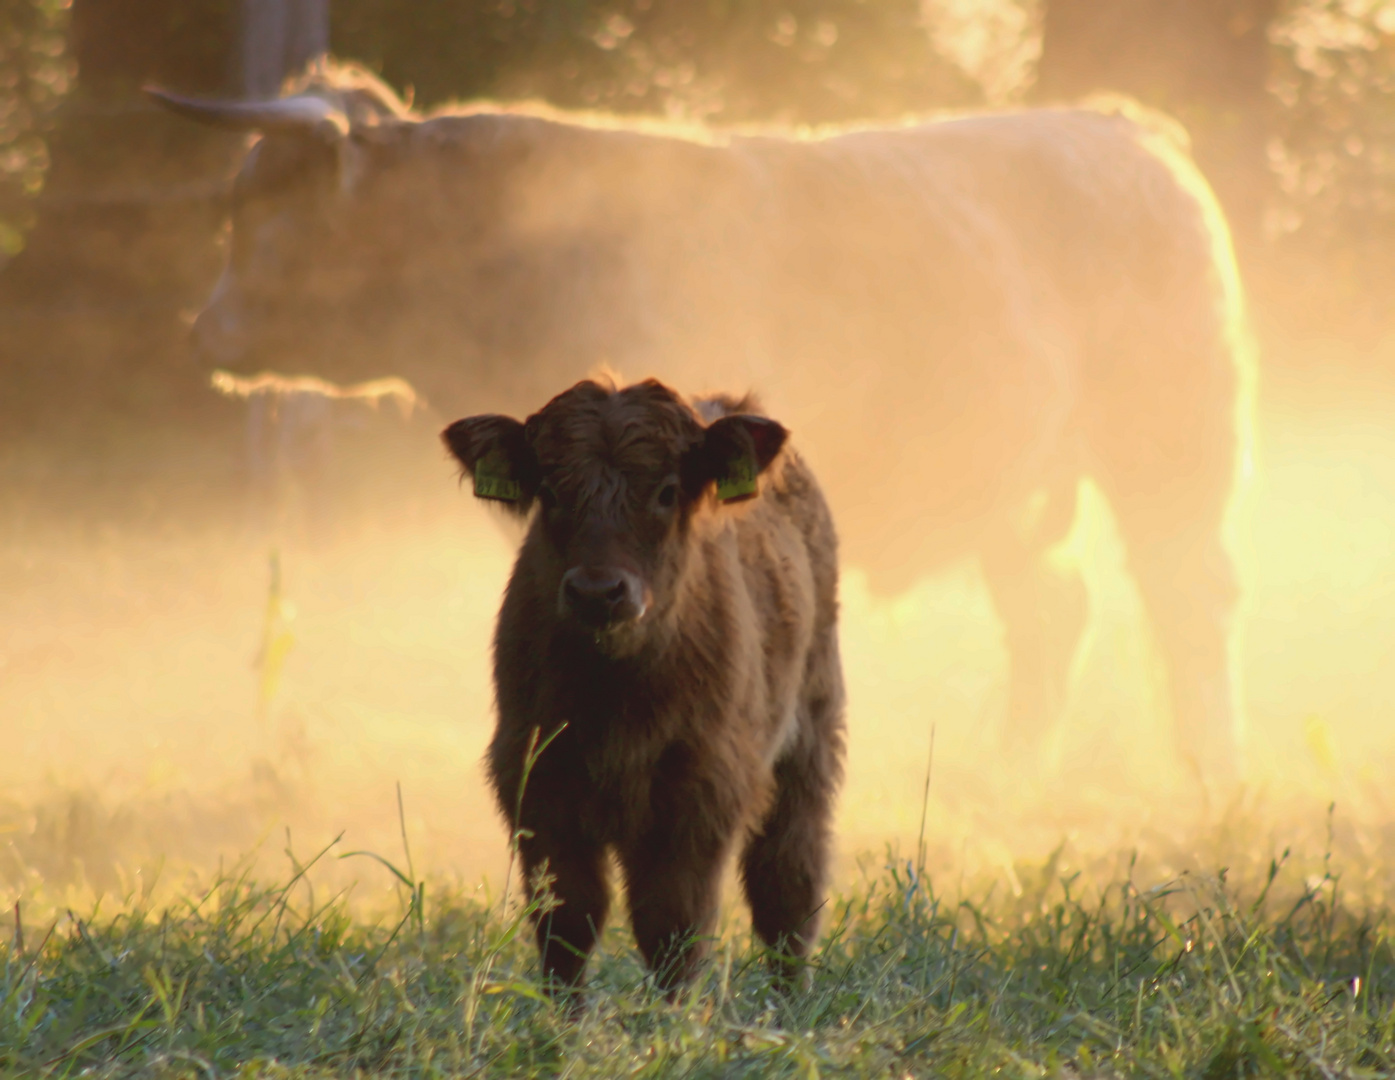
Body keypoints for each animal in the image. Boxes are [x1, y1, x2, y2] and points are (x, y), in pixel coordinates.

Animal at [152, 61, 1255, 786]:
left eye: (258, 205)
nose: (203, 330)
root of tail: (1124, 128)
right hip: (1022, 484)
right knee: (1052, 612)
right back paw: (1011, 768)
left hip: (1172, 448)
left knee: (1186, 600)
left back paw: (1207, 768)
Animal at [440, 376, 842, 993]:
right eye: (550, 491)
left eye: (668, 492)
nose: (598, 592)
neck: (615, 694)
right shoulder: (536, 783)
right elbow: (567, 923)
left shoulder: (700, 790)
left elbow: (673, 925)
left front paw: (667, 1017)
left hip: (811, 734)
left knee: (788, 885)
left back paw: (790, 1003)